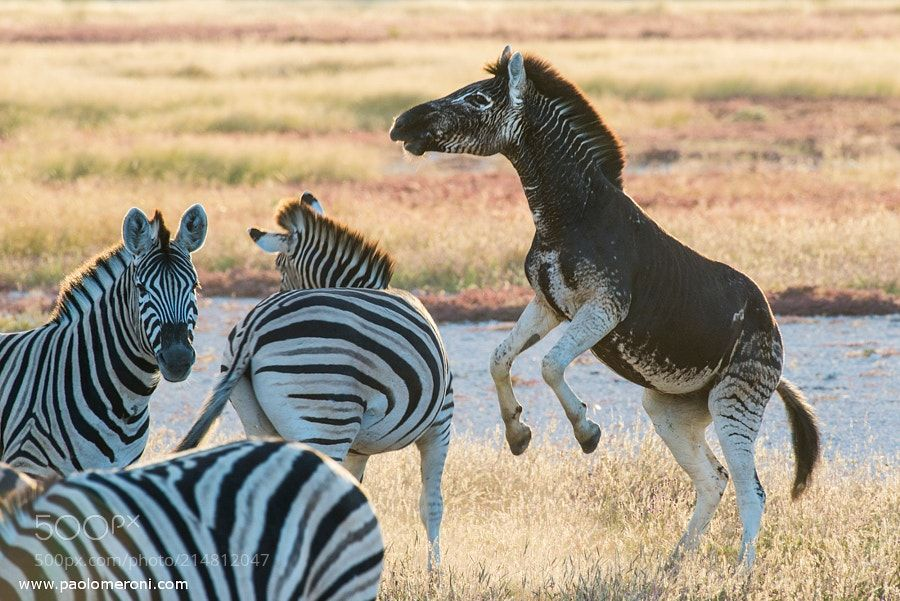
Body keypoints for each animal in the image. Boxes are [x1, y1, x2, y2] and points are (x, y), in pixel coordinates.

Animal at [177, 191, 454, 568]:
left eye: (280, 269)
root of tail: (253, 330)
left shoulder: (358, 446)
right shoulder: (440, 422)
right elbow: (431, 505)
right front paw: (435, 575)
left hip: (258, 419)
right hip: (325, 421)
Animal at [388, 44, 824, 564]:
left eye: (477, 99)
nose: (400, 124)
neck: (568, 216)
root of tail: (774, 335)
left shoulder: (604, 308)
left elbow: (551, 365)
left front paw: (586, 431)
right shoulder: (549, 305)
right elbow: (499, 359)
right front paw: (517, 433)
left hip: (736, 398)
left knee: (750, 491)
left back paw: (741, 574)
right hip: (672, 410)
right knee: (712, 481)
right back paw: (672, 567)